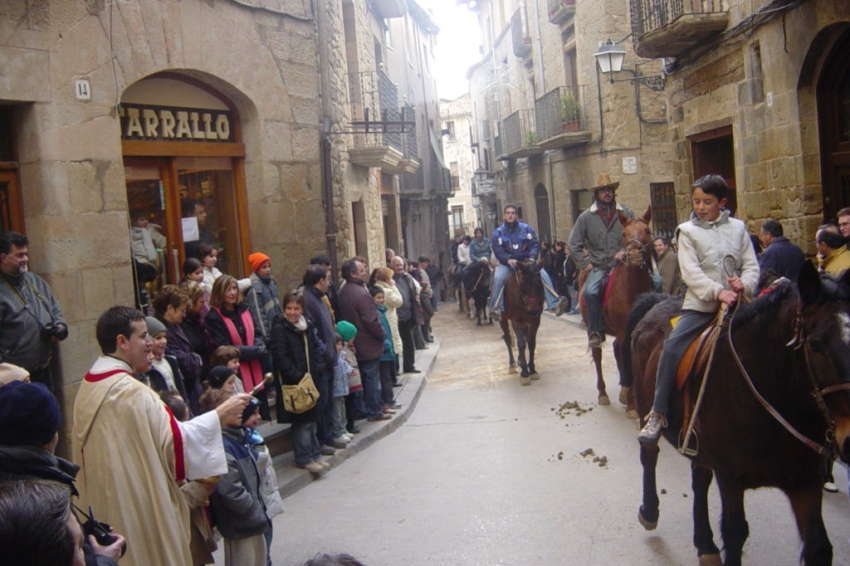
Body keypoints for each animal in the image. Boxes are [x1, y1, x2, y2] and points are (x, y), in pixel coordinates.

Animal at [572, 207, 652, 408]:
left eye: (646, 230)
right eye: (624, 233)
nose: (634, 254)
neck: (632, 288)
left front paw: (630, 395)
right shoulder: (624, 331)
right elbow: (626, 358)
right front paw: (632, 404)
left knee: (616, 351)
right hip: (594, 329)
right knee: (598, 355)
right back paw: (603, 394)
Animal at [628, 264, 848, 564]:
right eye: (815, 345)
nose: (849, 440)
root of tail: (659, 302)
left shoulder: (806, 481)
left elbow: (819, 546)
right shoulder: (731, 477)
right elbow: (735, 533)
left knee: (700, 478)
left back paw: (704, 543)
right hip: (643, 404)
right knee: (649, 455)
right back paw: (649, 511)